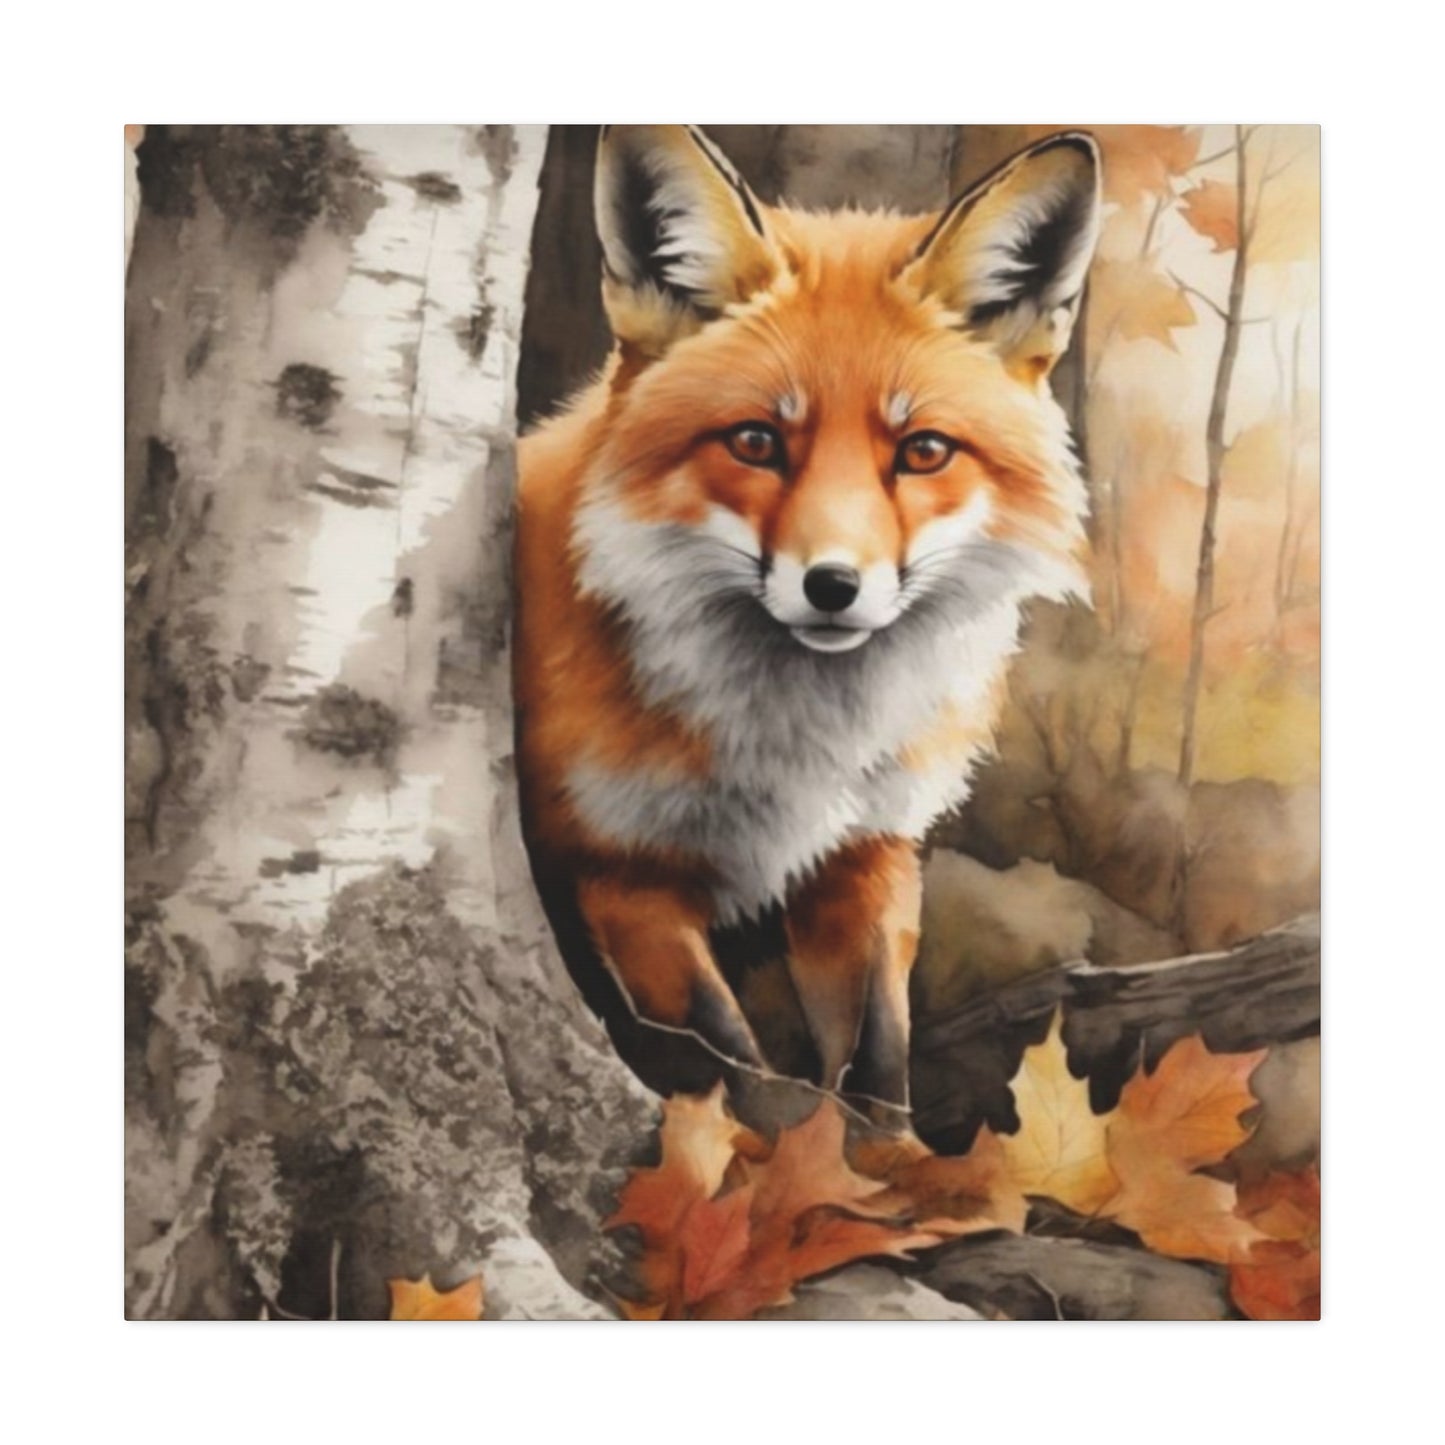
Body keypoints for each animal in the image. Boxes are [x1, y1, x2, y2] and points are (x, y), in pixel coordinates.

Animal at [514, 125, 1099, 1121]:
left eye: (922, 451)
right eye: (756, 441)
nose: (832, 585)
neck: (799, 746)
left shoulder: (868, 854)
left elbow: (876, 1062)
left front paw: (891, 1159)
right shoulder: (621, 872)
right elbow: (740, 1070)